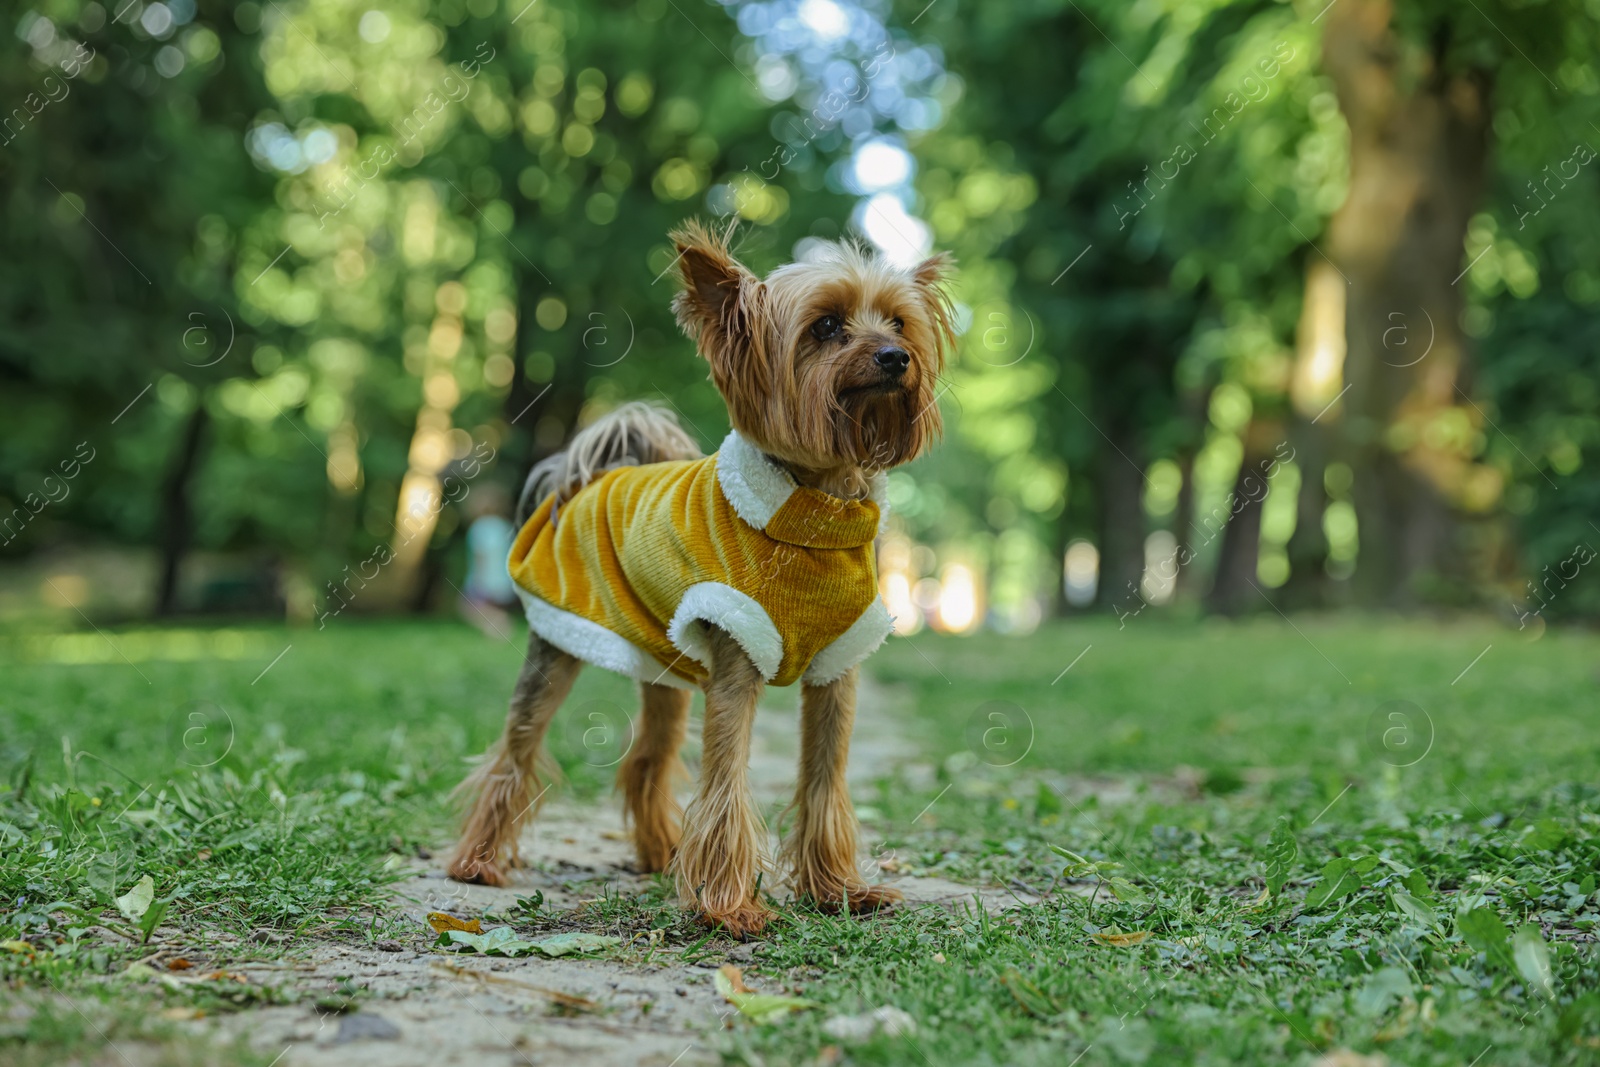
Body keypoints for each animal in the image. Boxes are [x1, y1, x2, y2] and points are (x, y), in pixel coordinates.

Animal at [451, 223, 947, 934]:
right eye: (826, 326)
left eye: (900, 323)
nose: (894, 357)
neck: (817, 517)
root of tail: (596, 474)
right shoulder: (738, 661)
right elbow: (726, 783)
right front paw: (729, 906)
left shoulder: (837, 670)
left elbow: (824, 780)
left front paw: (839, 891)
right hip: (557, 645)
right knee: (515, 752)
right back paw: (477, 862)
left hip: (663, 661)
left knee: (648, 758)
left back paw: (660, 853)